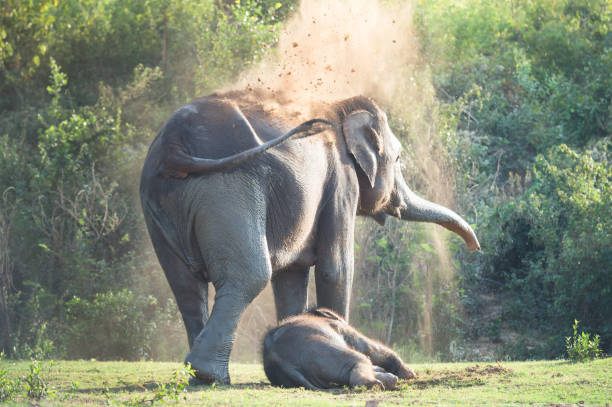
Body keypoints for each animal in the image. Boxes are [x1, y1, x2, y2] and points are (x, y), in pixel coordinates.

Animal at [262, 310, 416, 392]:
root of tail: (277, 360)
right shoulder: (343, 329)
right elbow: (371, 349)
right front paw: (410, 374)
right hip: (322, 349)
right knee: (359, 359)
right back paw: (379, 384)